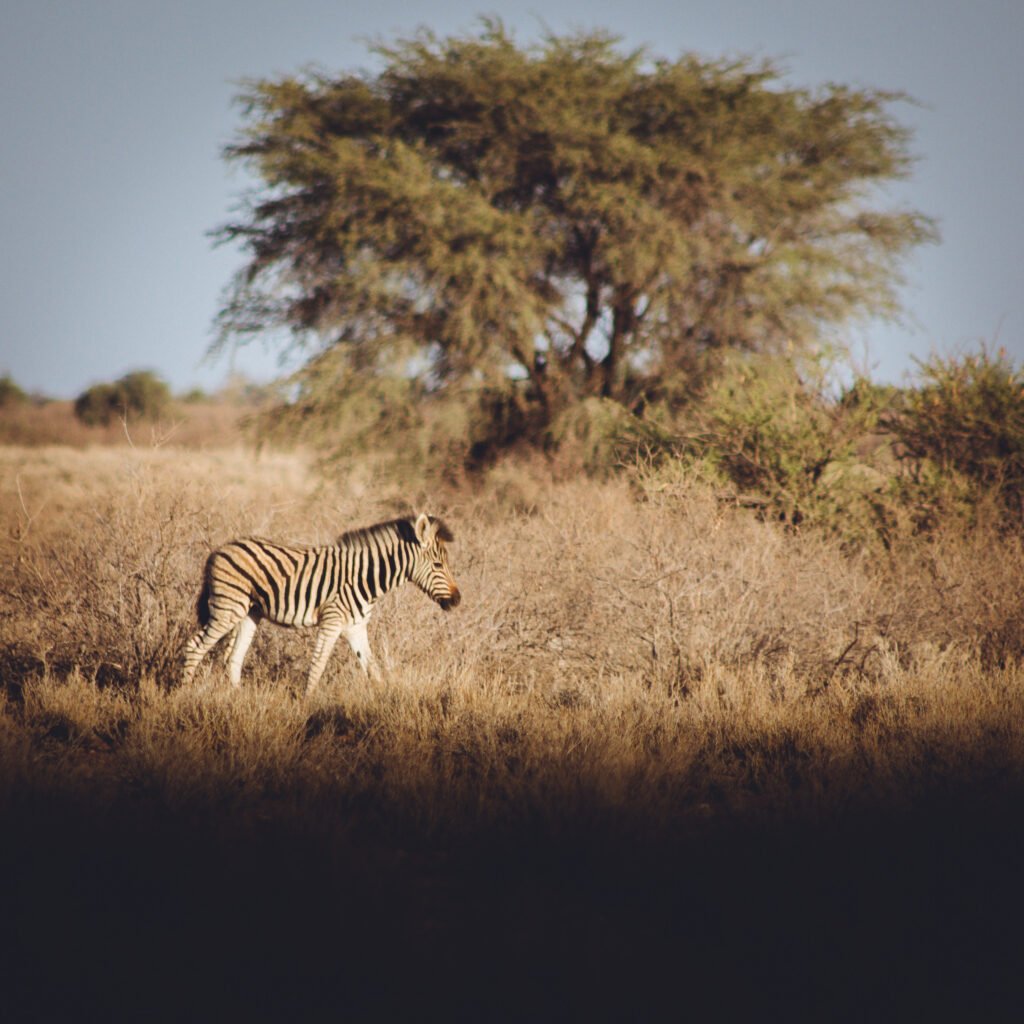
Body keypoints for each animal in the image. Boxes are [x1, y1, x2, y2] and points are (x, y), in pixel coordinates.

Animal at [181, 513, 460, 694]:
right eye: (438, 565)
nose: (457, 600)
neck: (366, 578)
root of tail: (219, 550)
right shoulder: (332, 621)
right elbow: (318, 666)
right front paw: (307, 704)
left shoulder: (356, 627)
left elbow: (373, 668)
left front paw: (386, 700)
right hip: (228, 608)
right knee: (195, 647)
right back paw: (184, 695)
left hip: (249, 612)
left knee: (234, 657)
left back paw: (237, 700)